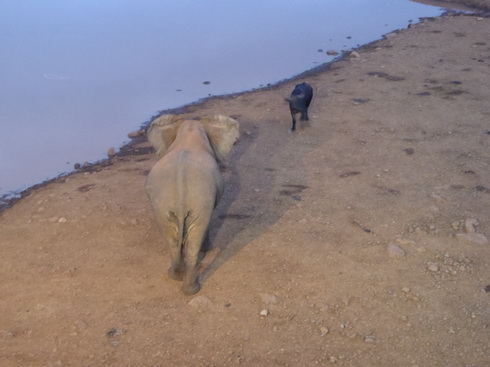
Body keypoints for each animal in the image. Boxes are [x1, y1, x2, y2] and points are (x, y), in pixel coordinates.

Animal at [144, 113, 239, 294]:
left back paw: (176, 276)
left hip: (163, 204)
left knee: (172, 239)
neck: (189, 130)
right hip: (199, 201)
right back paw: (192, 288)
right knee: (193, 240)